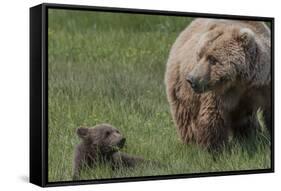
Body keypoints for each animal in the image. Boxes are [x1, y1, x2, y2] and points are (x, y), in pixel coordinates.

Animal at [165, 19, 270, 151]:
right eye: (199, 55)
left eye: (212, 59)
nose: (191, 79)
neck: (240, 81)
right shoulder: (217, 93)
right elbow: (213, 116)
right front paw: (215, 148)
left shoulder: (263, 84)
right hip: (180, 87)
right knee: (185, 117)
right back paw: (191, 143)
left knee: (245, 119)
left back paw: (251, 136)